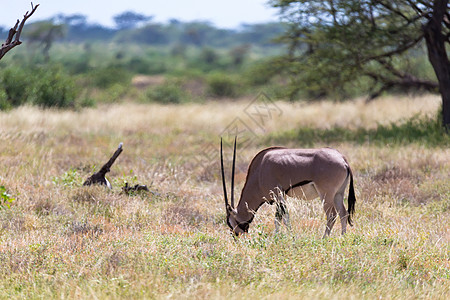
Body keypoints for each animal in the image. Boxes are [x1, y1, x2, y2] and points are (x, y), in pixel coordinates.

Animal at [221, 137, 356, 238]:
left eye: (230, 223)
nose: (235, 236)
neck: (259, 171)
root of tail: (342, 159)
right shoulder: (280, 196)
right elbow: (277, 218)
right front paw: (276, 237)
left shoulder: (277, 194)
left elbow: (285, 217)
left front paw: (291, 237)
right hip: (338, 194)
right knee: (343, 213)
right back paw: (342, 237)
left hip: (326, 195)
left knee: (332, 215)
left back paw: (324, 238)